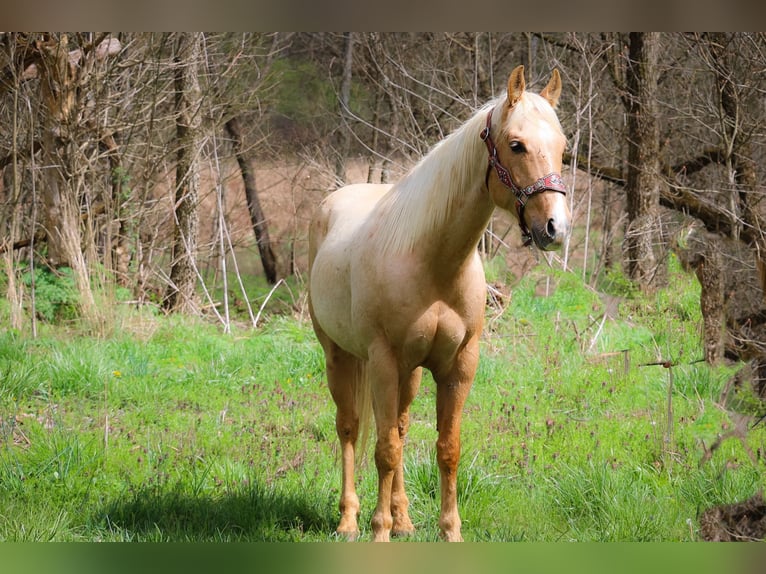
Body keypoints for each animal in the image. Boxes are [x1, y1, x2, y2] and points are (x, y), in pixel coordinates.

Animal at [308, 65, 568, 544]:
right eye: (516, 145)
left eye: (562, 147)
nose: (555, 228)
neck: (431, 261)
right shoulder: (383, 362)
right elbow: (385, 450)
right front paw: (378, 532)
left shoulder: (458, 366)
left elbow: (446, 449)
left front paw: (449, 531)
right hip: (340, 356)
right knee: (350, 427)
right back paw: (350, 521)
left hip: (408, 373)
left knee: (401, 426)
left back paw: (404, 519)